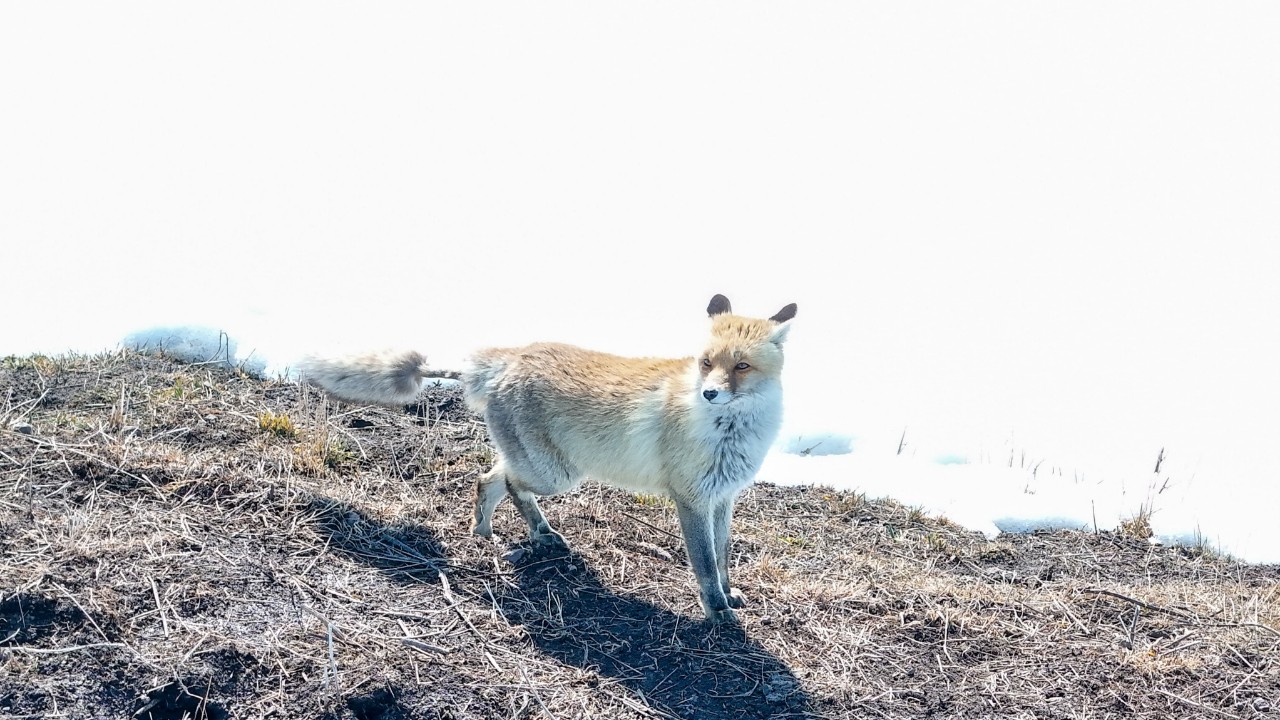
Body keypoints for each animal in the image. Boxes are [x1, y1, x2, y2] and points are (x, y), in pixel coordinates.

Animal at [303, 294, 793, 620]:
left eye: (741, 366)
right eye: (705, 362)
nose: (709, 393)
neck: (731, 433)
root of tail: (512, 356)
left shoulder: (723, 498)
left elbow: (723, 556)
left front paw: (729, 595)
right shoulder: (690, 499)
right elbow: (706, 564)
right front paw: (717, 611)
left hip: (543, 467)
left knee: (488, 478)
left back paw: (486, 531)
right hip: (555, 475)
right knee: (503, 483)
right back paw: (536, 532)